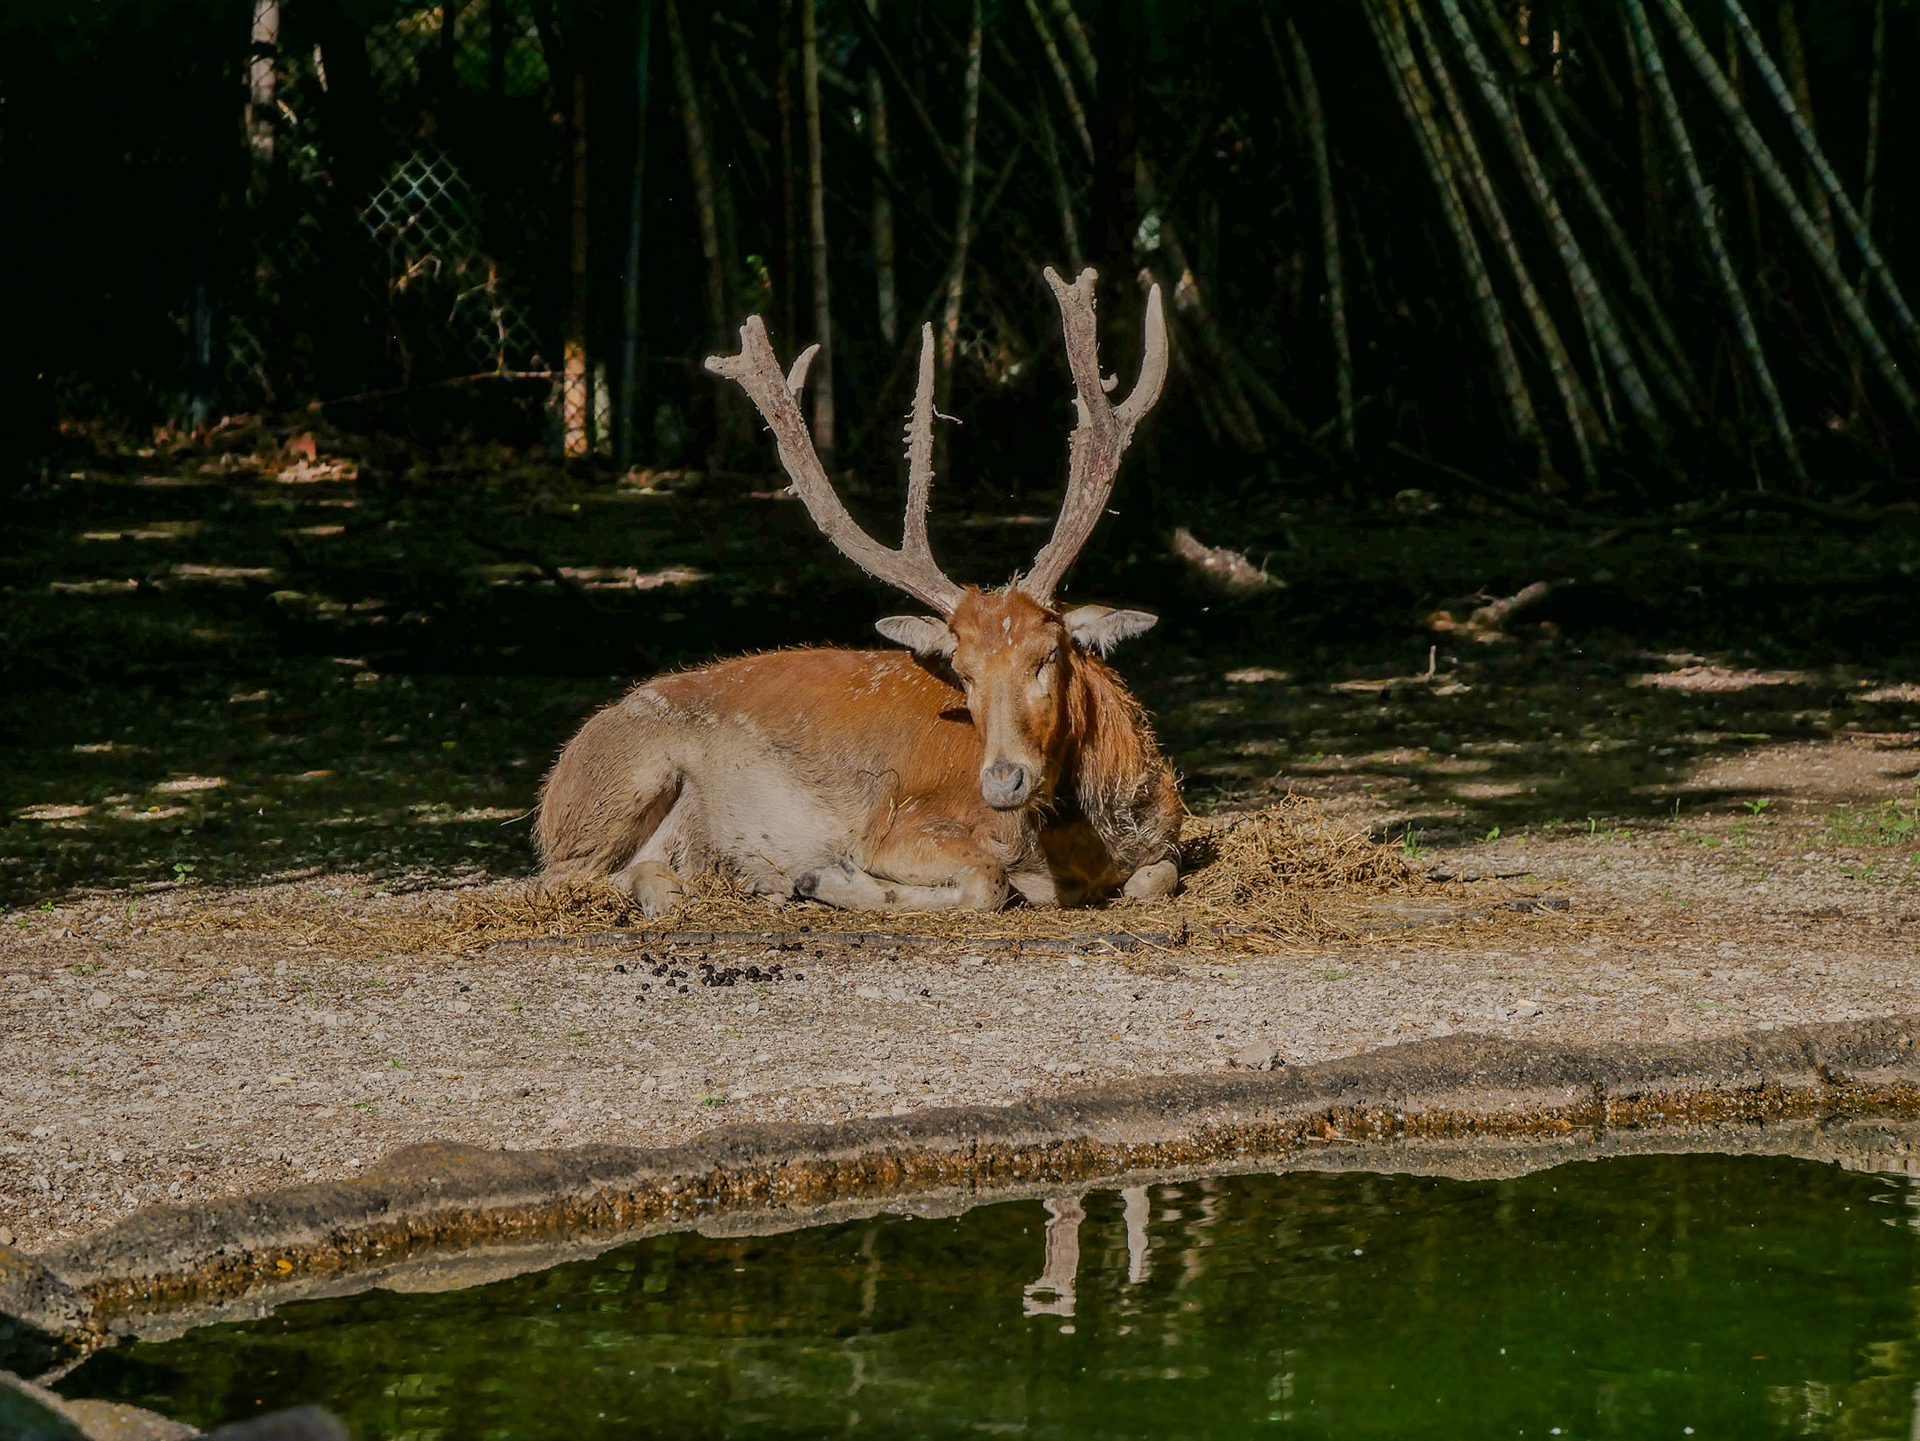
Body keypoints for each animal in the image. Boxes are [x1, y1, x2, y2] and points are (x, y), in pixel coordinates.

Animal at [535, 267, 1181, 915]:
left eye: (1049, 654)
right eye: (963, 670)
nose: (1002, 780)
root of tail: (560, 772)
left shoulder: (1167, 832)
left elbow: (1156, 877)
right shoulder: (901, 824)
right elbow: (986, 881)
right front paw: (827, 878)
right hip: (622, 777)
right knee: (559, 875)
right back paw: (695, 885)